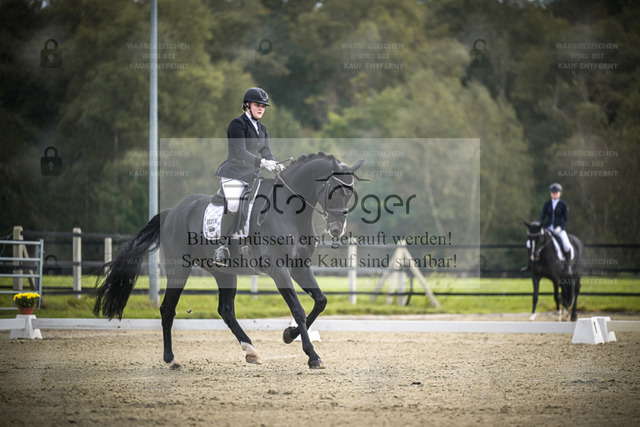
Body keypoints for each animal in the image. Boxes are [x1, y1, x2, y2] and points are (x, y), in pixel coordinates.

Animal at [93, 153, 364, 369]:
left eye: (350, 194)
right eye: (333, 191)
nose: (336, 229)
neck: (290, 214)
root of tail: (173, 211)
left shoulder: (300, 268)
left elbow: (320, 301)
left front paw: (289, 334)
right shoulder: (279, 270)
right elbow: (297, 309)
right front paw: (312, 356)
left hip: (224, 273)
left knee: (225, 311)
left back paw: (251, 351)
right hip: (179, 268)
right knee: (168, 309)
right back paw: (171, 359)